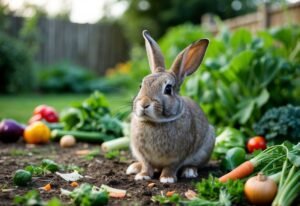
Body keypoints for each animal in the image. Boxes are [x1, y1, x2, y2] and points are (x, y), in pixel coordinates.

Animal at [126, 29, 216, 183]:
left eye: (168, 89)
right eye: (140, 86)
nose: (144, 104)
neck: (155, 122)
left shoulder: (178, 156)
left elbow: (171, 166)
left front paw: (167, 179)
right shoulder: (143, 155)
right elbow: (146, 165)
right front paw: (143, 176)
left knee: (195, 165)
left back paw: (189, 171)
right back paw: (134, 167)